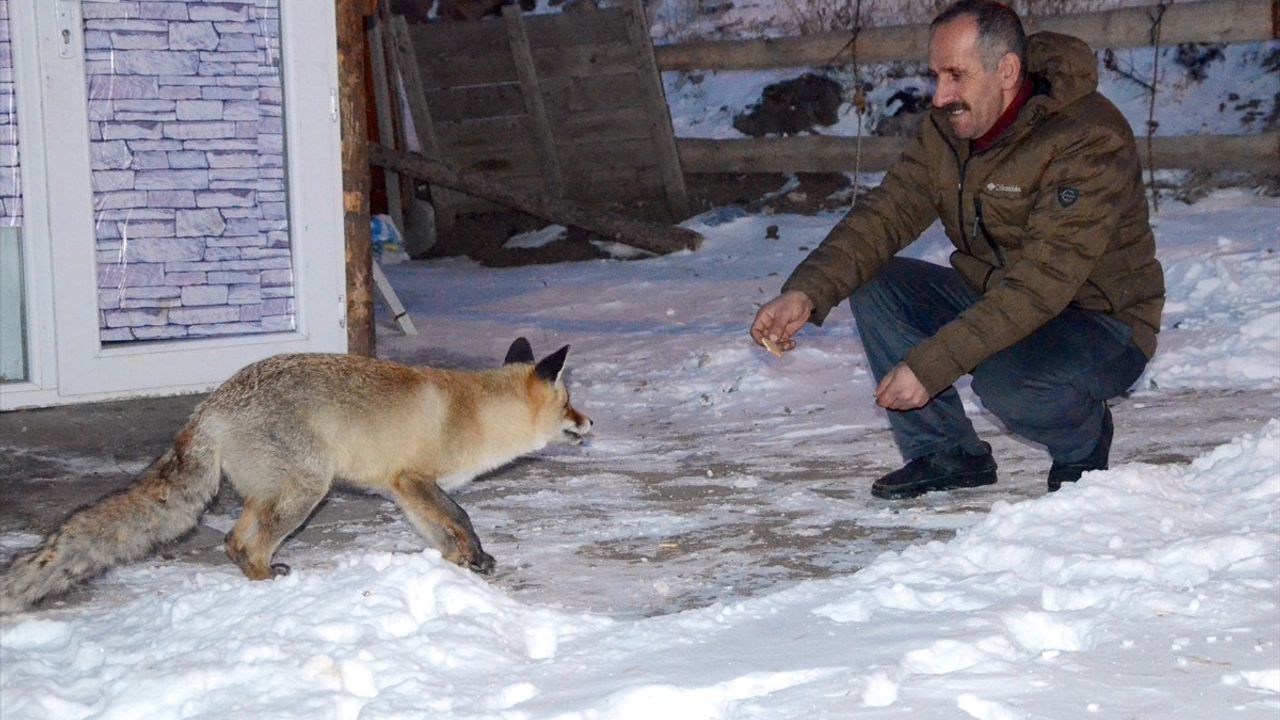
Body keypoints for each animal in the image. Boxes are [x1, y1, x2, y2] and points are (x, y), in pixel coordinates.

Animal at [0, 335, 588, 609]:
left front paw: (461, 566)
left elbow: (441, 534)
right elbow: (461, 516)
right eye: (568, 404)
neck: (476, 414)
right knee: (249, 545)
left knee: (233, 541)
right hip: (307, 490)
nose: (590, 422)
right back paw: (268, 584)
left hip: (271, 493)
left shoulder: (404, 491)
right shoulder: (414, 479)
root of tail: (209, 408)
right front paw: (476, 557)